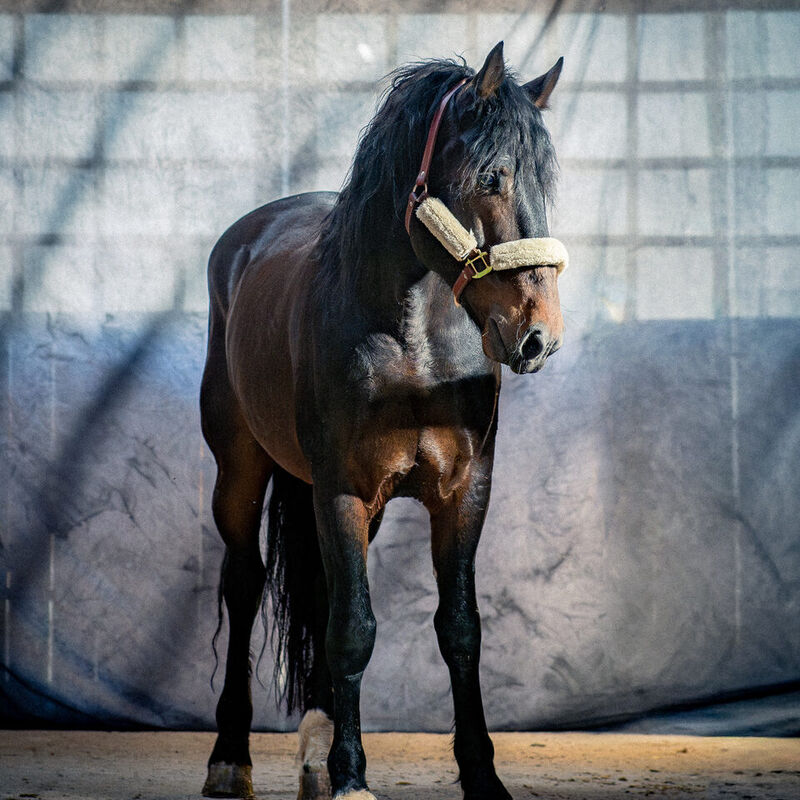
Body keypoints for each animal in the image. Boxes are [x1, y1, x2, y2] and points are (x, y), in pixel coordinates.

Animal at [199, 41, 566, 800]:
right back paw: (230, 758)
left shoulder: (464, 492)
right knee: (245, 584)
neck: (416, 348)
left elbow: (459, 628)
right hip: (240, 473)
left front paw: (481, 774)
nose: (539, 335)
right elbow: (354, 629)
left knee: (317, 591)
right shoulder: (342, 490)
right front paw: (351, 776)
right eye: (492, 175)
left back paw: (312, 752)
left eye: (546, 183)